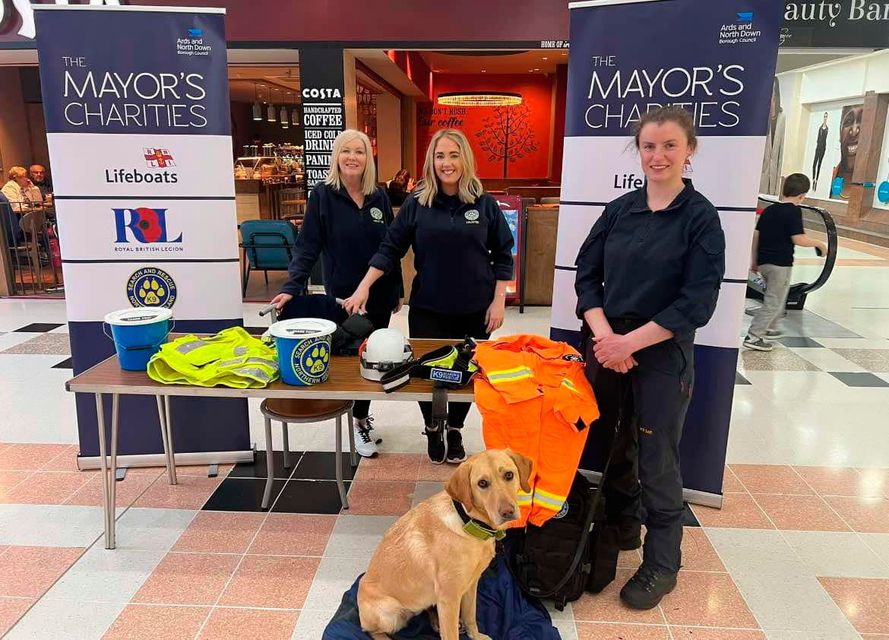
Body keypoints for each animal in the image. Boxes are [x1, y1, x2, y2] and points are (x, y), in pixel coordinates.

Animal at [356, 450, 536, 640]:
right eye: (482, 483)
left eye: (509, 475)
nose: (508, 512)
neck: (468, 522)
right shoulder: (449, 599)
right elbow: (451, 634)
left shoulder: (471, 585)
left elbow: (470, 615)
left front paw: (475, 635)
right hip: (389, 614)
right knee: (372, 631)